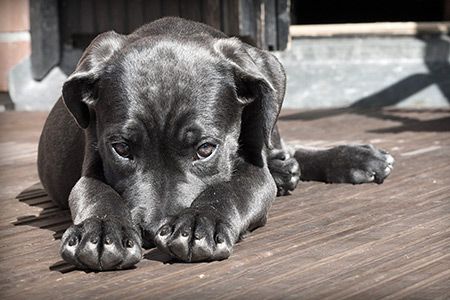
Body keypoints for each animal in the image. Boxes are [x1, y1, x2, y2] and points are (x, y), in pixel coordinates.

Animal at [37, 17, 392, 270]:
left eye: (205, 149)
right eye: (121, 149)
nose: (152, 231)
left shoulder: (253, 170)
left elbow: (231, 189)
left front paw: (199, 222)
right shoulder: (91, 164)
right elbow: (96, 192)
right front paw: (101, 231)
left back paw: (353, 159)